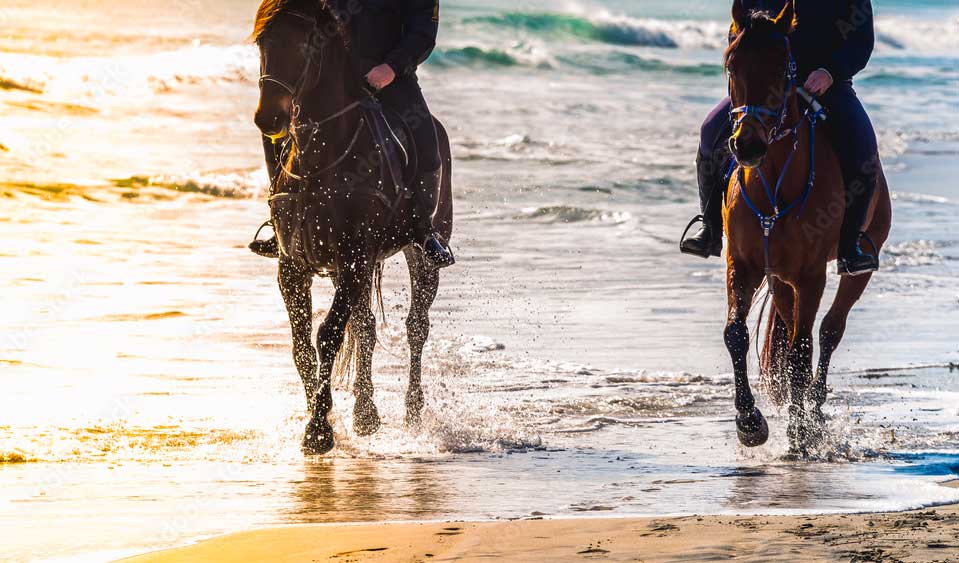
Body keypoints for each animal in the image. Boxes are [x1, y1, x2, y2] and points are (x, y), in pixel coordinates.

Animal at [251, 0, 454, 456]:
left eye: (306, 43)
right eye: (261, 42)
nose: (267, 117)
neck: (324, 157)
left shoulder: (354, 259)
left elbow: (327, 334)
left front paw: (318, 431)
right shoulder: (292, 266)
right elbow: (302, 345)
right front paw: (321, 415)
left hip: (421, 253)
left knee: (416, 326)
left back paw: (412, 412)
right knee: (365, 328)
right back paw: (365, 414)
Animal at [720, 0, 892, 456]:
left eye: (784, 70)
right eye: (731, 65)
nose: (748, 146)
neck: (774, 183)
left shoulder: (811, 274)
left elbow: (802, 349)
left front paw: (802, 431)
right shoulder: (742, 265)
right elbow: (735, 334)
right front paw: (750, 422)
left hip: (858, 264)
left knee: (829, 330)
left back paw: (813, 411)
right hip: (780, 277)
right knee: (791, 323)